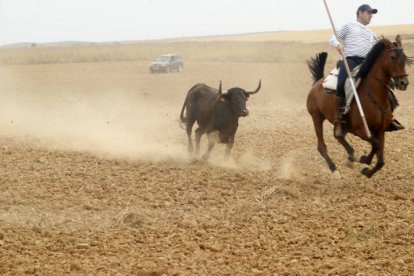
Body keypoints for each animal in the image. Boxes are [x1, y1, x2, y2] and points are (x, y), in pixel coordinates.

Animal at [308, 35, 410, 178]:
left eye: (405, 58)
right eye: (392, 57)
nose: (403, 83)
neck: (374, 93)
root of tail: (317, 83)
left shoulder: (380, 130)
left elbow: (380, 159)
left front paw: (367, 169)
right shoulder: (360, 130)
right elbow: (376, 144)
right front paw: (364, 159)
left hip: (340, 125)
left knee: (338, 135)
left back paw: (351, 156)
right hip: (317, 118)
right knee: (322, 146)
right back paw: (334, 170)